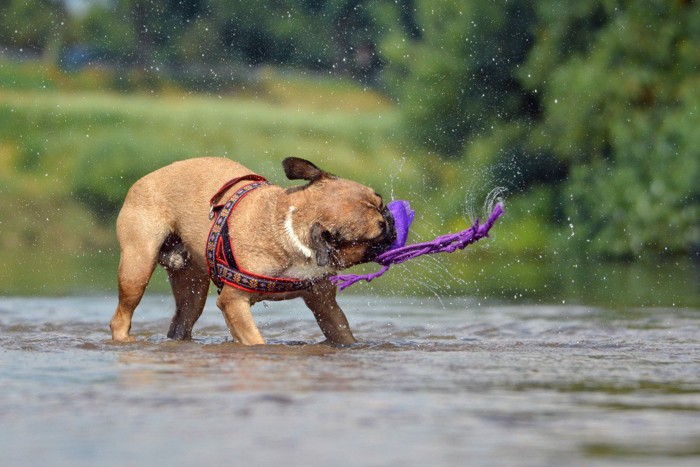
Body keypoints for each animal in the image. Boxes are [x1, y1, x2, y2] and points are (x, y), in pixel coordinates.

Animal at [108, 159, 394, 346]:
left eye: (380, 199)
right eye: (377, 233)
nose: (390, 218)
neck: (290, 219)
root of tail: (144, 178)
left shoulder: (323, 302)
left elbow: (341, 331)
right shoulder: (233, 302)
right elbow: (255, 340)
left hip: (191, 285)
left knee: (183, 319)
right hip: (138, 266)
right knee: (122, 315)